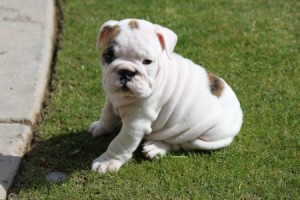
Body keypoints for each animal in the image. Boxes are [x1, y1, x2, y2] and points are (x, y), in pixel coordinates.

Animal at [88, 18, 243, 173]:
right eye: (109, 56)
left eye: (147, 61)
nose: (126, 72)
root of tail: (239, 113)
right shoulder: (111, 100)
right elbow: (106, 116)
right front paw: (100, 127)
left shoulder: (136, 123)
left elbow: (120, 143)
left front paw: (107, 162)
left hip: (206, 138)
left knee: (181, 143)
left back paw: (156, 148)